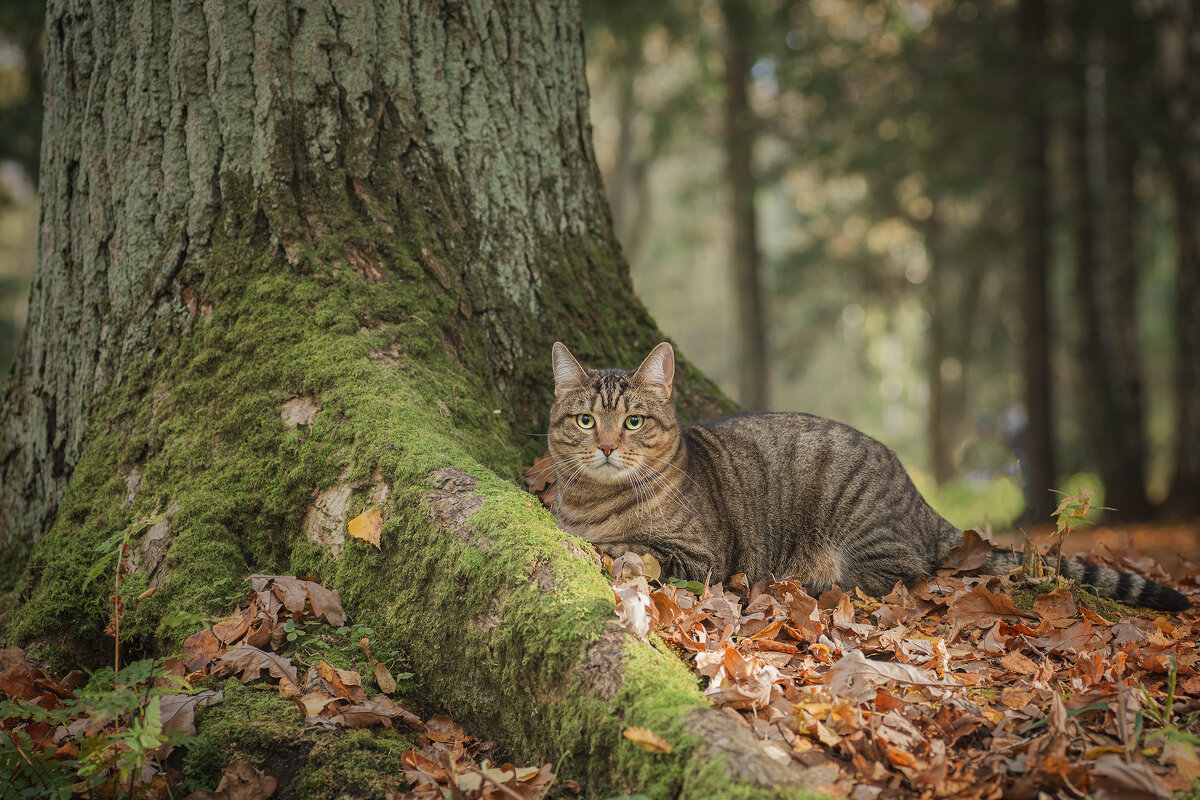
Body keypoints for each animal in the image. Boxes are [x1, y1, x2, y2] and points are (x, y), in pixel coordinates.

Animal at [547, 340, 1190, 614]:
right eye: (586, 420)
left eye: (632, 421)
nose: (607, 446)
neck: (595, 500)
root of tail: (920, 500)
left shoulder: (703, 555)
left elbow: (636, 547)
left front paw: (606, 548)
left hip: (858, 530)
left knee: (895, 577)